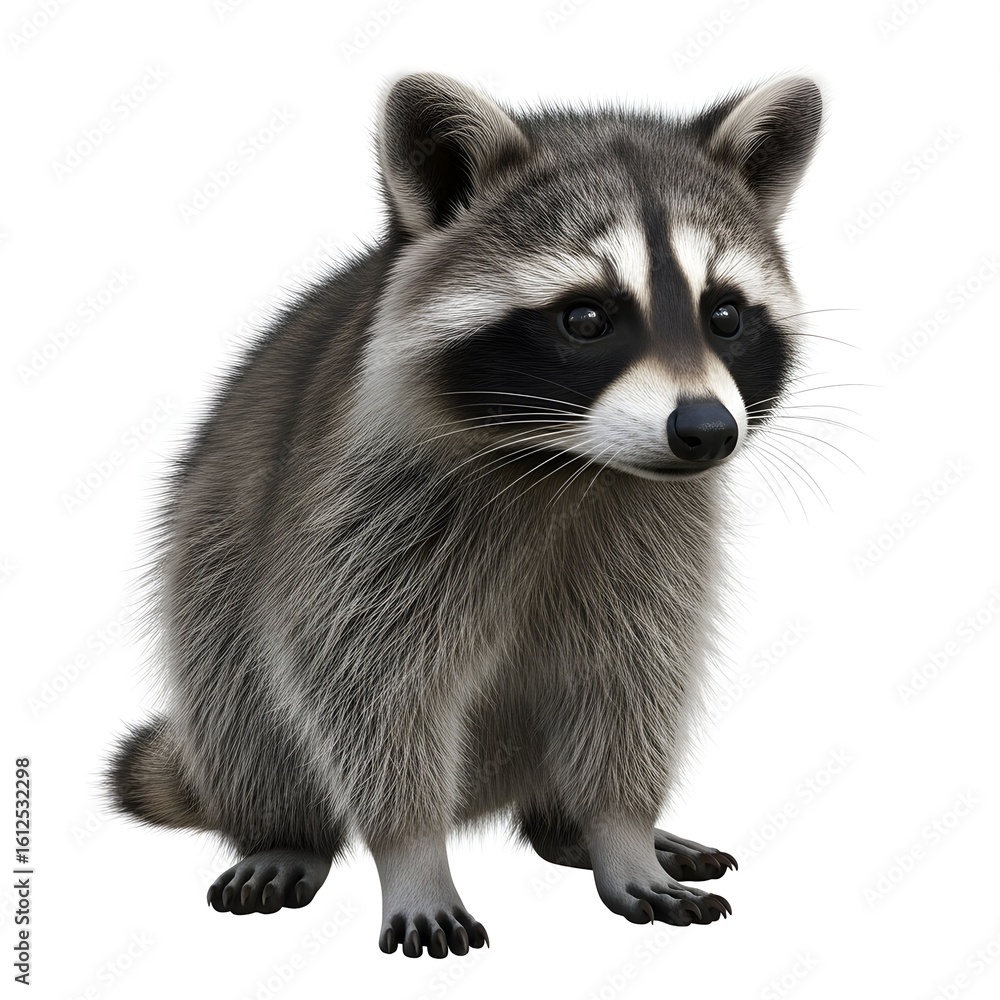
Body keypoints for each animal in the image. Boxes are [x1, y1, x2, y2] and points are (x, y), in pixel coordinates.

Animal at [106, 72, 823, 958]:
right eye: (587, 318)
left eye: (724, 315)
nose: (706, 431)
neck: (568, 464)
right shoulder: (363, 516)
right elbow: (366, 685)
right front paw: (413, 855)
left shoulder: (653, 531)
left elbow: (630, 679)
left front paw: (622, 829)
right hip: (211, 582)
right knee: (241, 700)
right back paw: (286, 832)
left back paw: (573, 828)